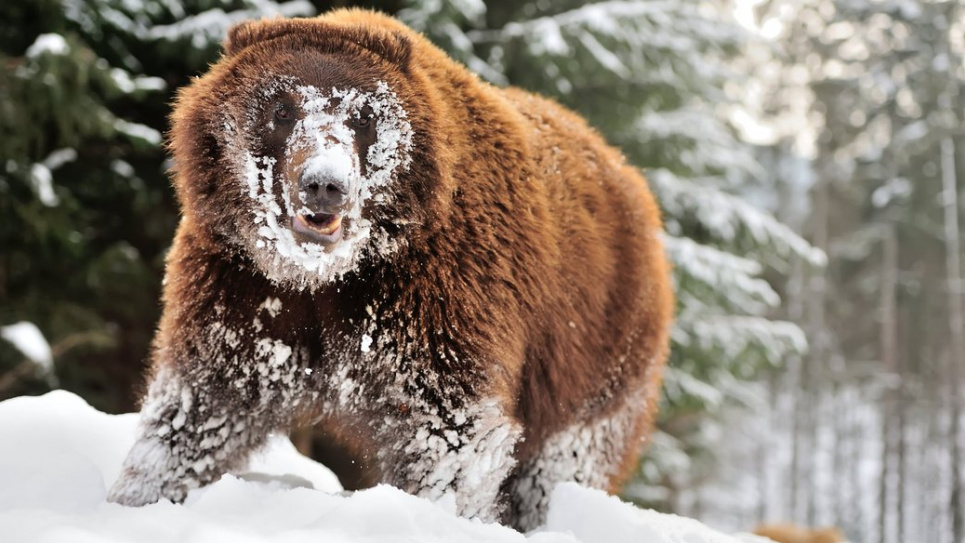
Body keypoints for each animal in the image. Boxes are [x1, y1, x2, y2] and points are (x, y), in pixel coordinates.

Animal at [107, 8, 672, 532]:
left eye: (363, 116)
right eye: (281, 108)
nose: (324, 183)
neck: (325, 276)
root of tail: (627, 174)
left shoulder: (435, 297)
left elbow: (449, 434)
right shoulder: (245, 290)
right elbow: (202, 405)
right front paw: (139, 497)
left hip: (595, 350)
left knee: (563, 464)